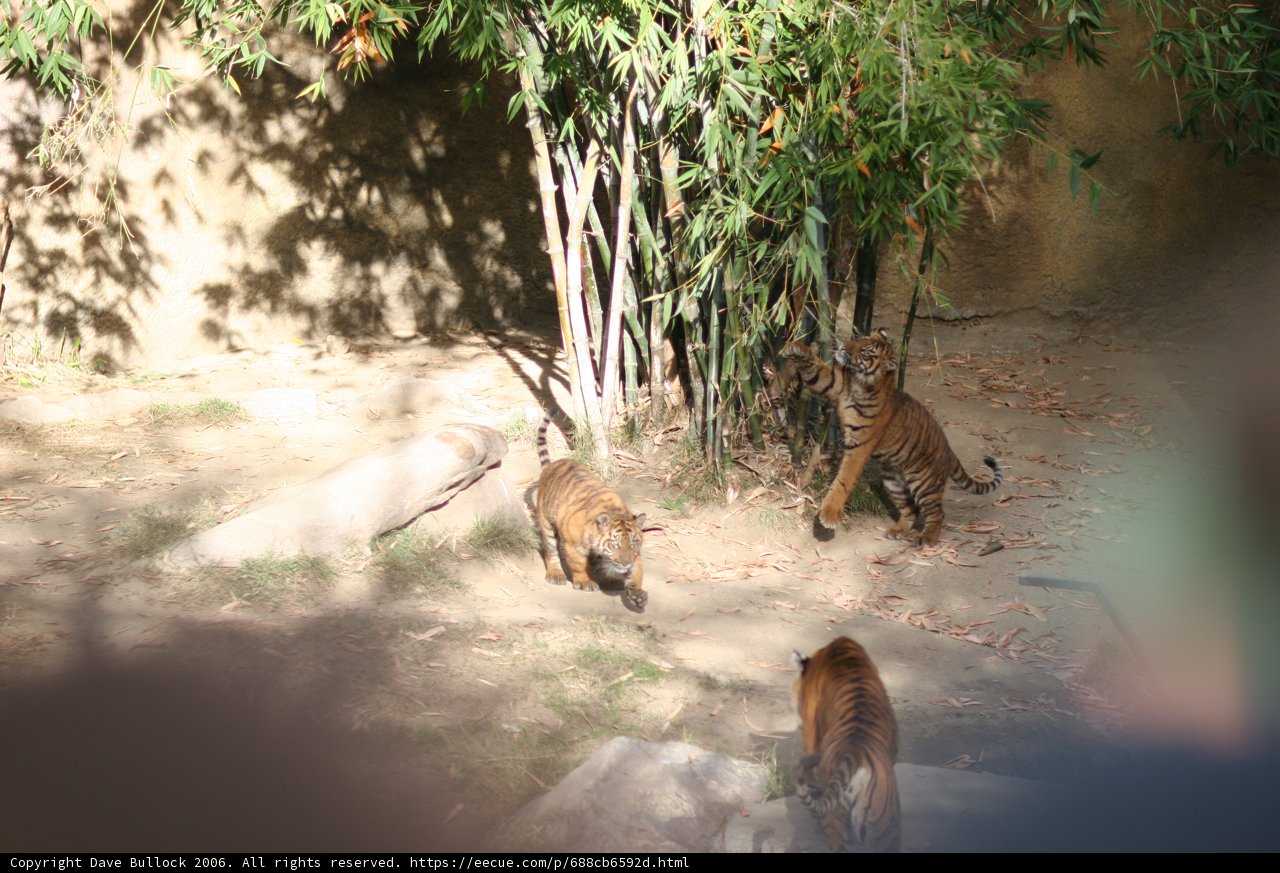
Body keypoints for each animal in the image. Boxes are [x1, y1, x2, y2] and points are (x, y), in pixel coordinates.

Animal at [534, 410, 648, 613]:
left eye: (633, 543)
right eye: (615, 544)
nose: (625, 564)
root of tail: (551, 465)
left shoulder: (635, 554)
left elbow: (638, 569)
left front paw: (636, 593)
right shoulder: (573, 546)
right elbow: (579, 565)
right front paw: (585, 582)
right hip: (546, 524)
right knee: (550, 551)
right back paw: (556, 574)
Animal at [778, 327, 1002, 545]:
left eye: (866, 351)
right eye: (861, 339)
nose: (843, 346)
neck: (859, 384)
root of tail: (949, 450)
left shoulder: (859, 447)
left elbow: (844, 480)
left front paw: (829, 515)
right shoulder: (833, 384)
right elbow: (815, 370)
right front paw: (796, 348)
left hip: (925, 483)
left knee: (937, 512)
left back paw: (927, 538)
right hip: (893, 479)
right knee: (911, 509)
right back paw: (898, 531)